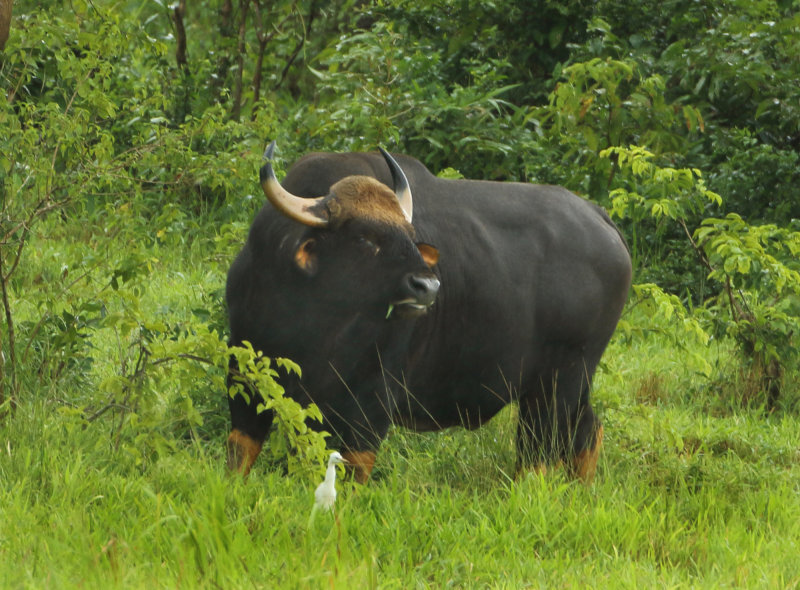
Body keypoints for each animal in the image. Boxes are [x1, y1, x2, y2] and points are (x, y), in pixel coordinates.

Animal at [227, 145, 632, 486]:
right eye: (364, 237)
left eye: (408, 234)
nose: (428, 286)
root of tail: (602, 221)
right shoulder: (244, 375)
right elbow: (241, 449)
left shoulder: (373, 395)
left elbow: (355, 465)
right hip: (569, 385)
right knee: (586, 431)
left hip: (558, 384)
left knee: (539, 453)